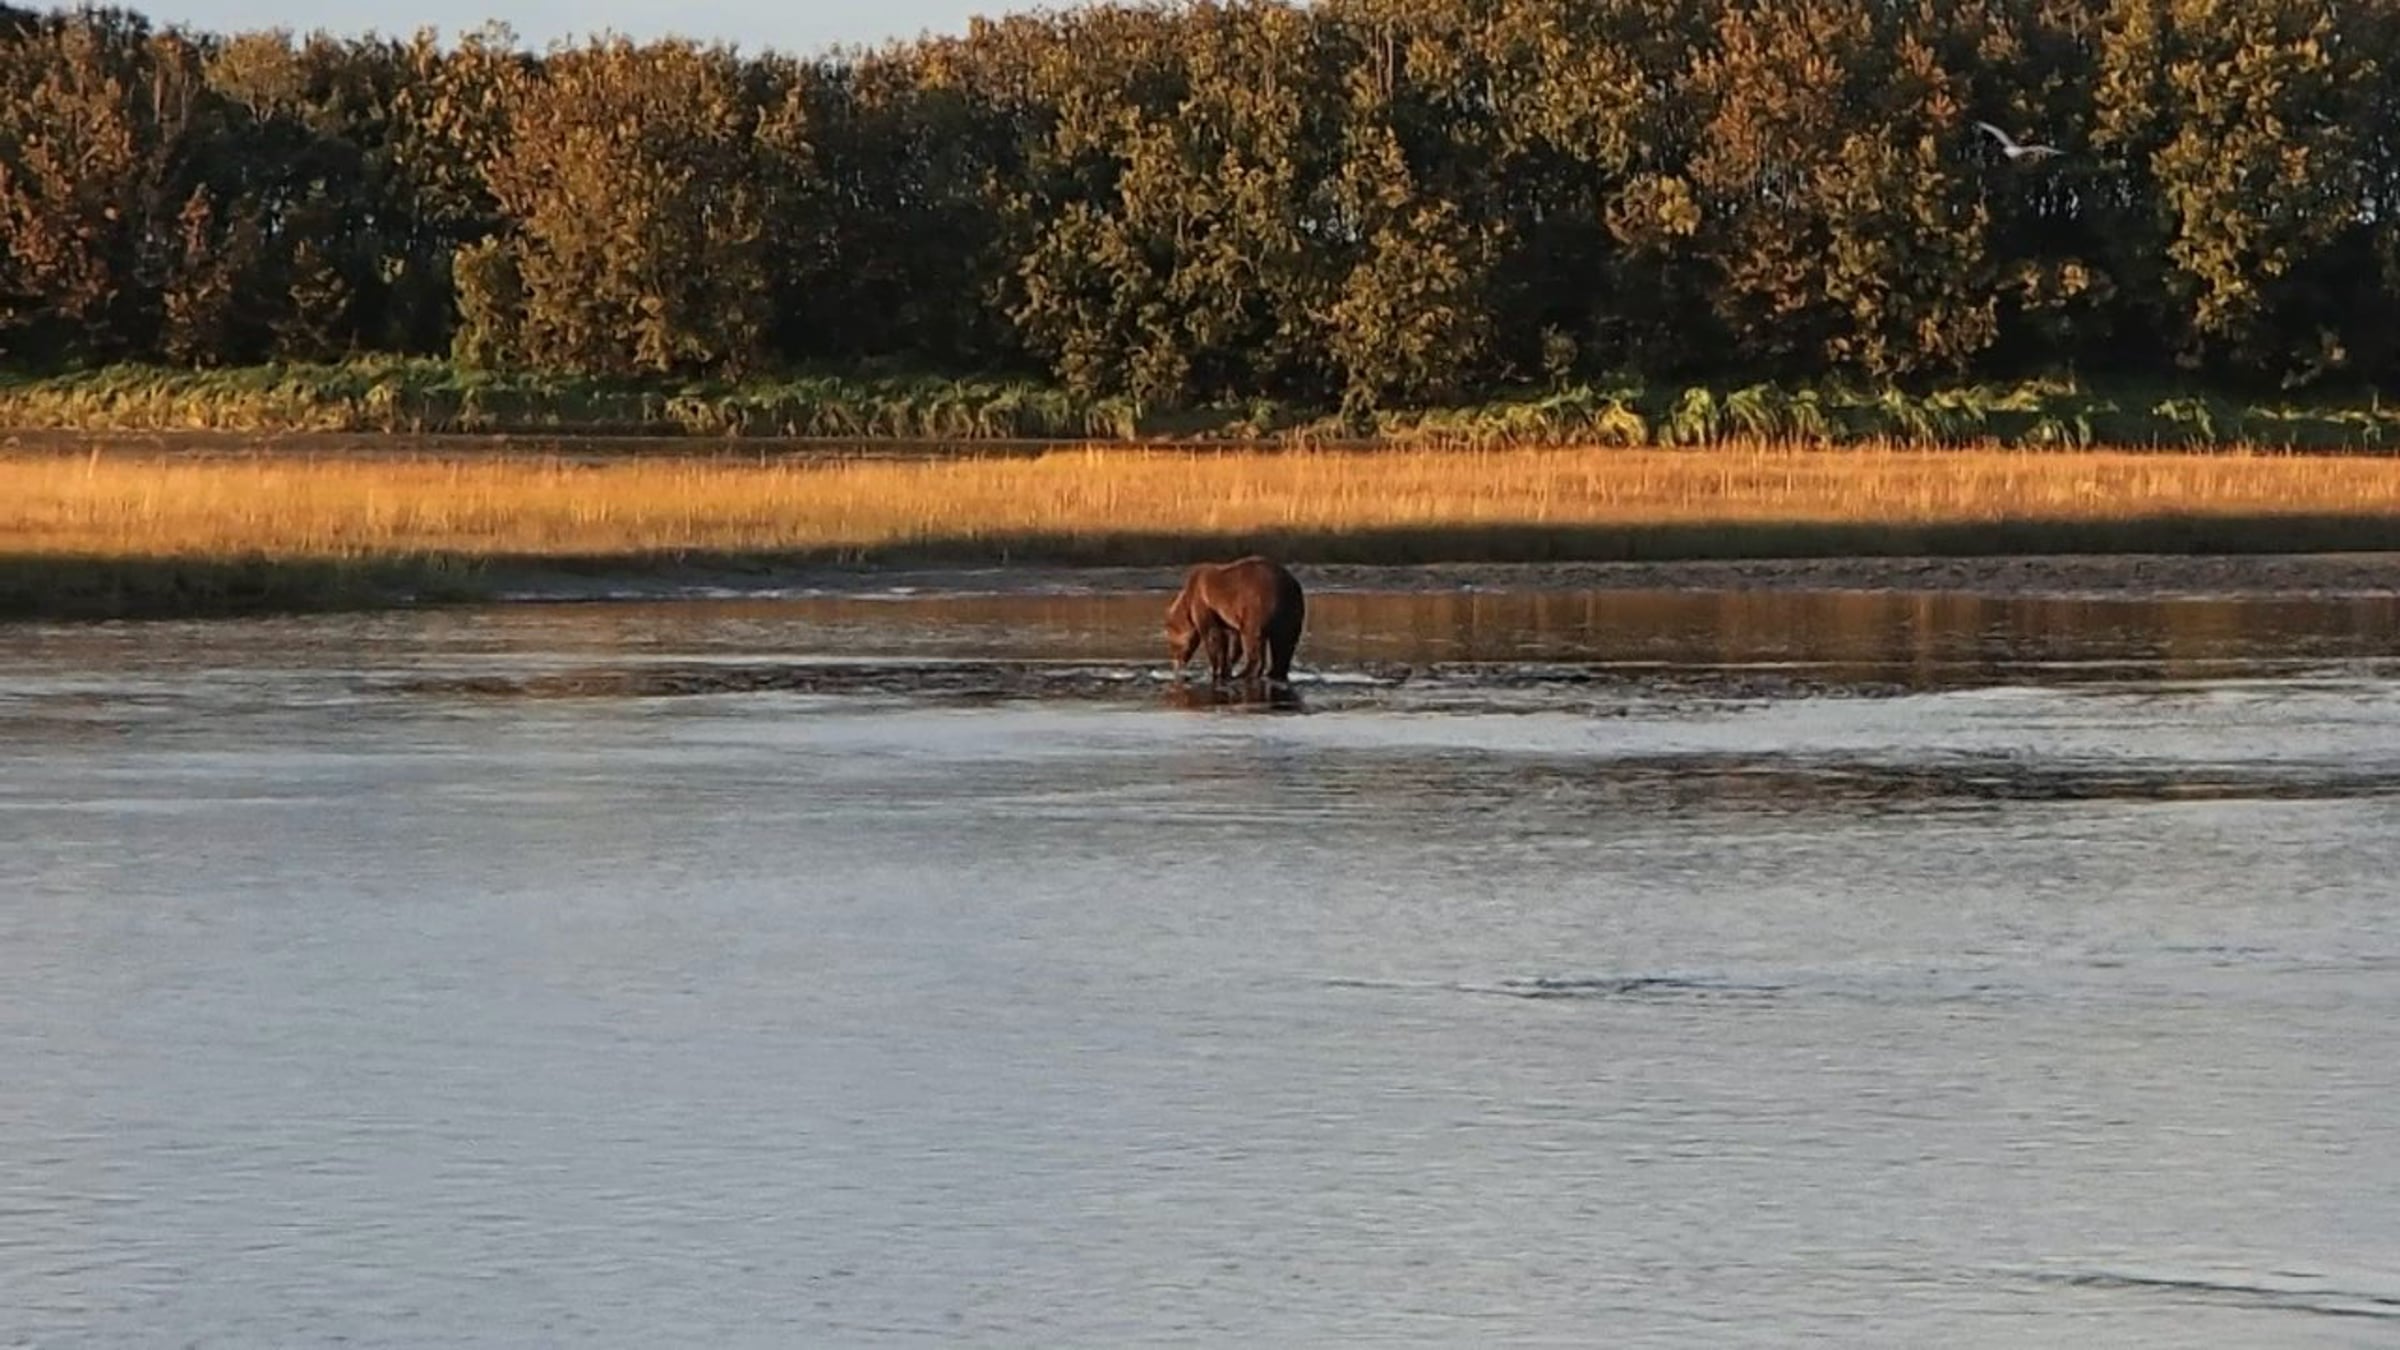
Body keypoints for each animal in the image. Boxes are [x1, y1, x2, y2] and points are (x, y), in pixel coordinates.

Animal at [1165, 555, 1306, 683]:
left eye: (1173, 645)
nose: (1176, 664)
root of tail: (1291, 584)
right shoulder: (1227, 618)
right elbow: (1232, 641)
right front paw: (1227, 667)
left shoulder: (1204, 602)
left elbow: (1212, 636)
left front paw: (1215, 670)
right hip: (1291, 612)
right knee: (1285, 645)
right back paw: (1273, 673)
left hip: (1257, 604)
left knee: (1253, 638)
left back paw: (1244, 674)